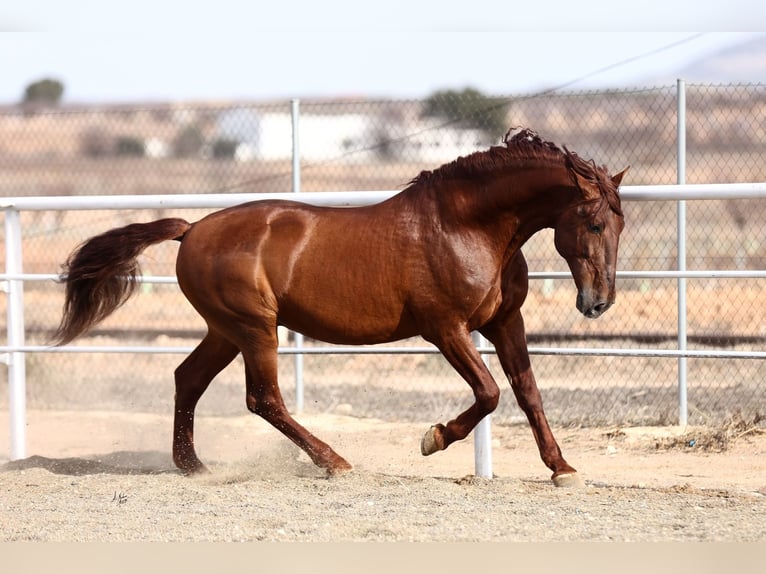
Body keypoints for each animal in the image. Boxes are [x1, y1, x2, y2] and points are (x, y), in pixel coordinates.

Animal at [54, 128, 628, 487]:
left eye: (621, 225)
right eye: (594, 222)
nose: (598, 303)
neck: (468, 227)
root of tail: (191, 228)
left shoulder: (506, 322)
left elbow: (528, 392)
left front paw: (562, 468)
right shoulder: (445, 328)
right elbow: (488, 393)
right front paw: (433, 439)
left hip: (226, 331)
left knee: (188, 379)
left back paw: (193, 466)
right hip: (255, 329)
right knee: (263, 399)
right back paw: (334, 462)